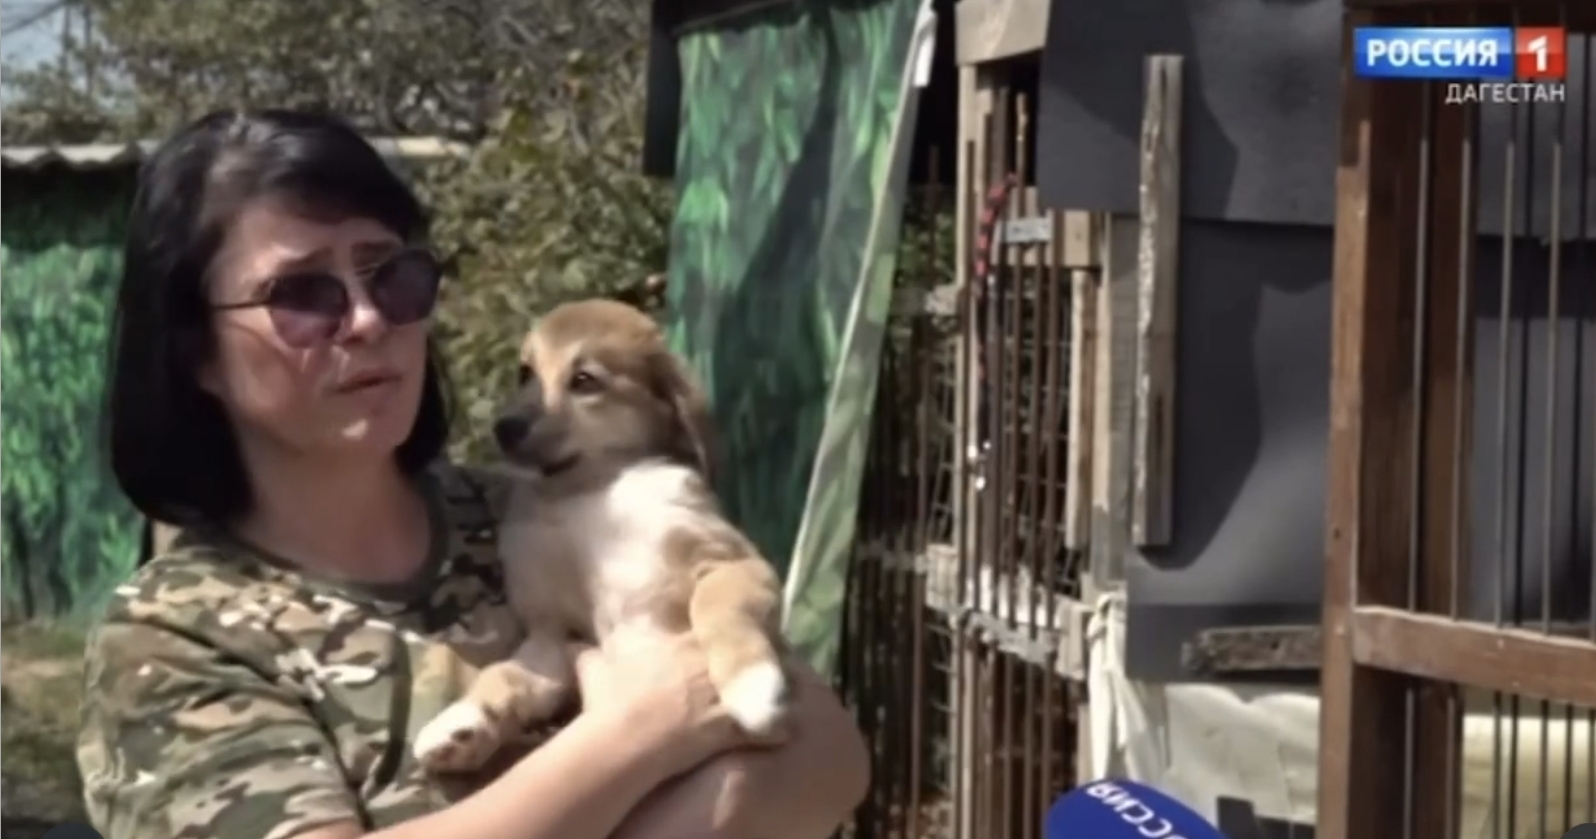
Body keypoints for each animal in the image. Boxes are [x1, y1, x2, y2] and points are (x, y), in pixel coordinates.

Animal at [413, 298, 790, 773]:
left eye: (584, 380)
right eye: (525, 373)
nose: (504, 427)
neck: (586, 496)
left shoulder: (731, 560)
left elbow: (716, 604)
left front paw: (753, 686)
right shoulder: (551, 636)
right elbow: (506, 674)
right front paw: (462, 721)